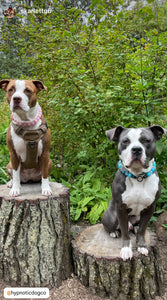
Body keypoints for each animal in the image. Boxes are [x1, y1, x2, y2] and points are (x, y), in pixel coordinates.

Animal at [102, 125, 167, 260]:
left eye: (146, 140)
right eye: (125, 141)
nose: (136, 149)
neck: (138, 176)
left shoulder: (150, 208)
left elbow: (143, 229)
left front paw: (141, 246)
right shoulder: (121, 208)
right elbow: (125, 233)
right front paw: (126, 249)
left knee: (137, 226)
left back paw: (135, 228)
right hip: (111, 217)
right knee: (114, 226)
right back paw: (113, 232)